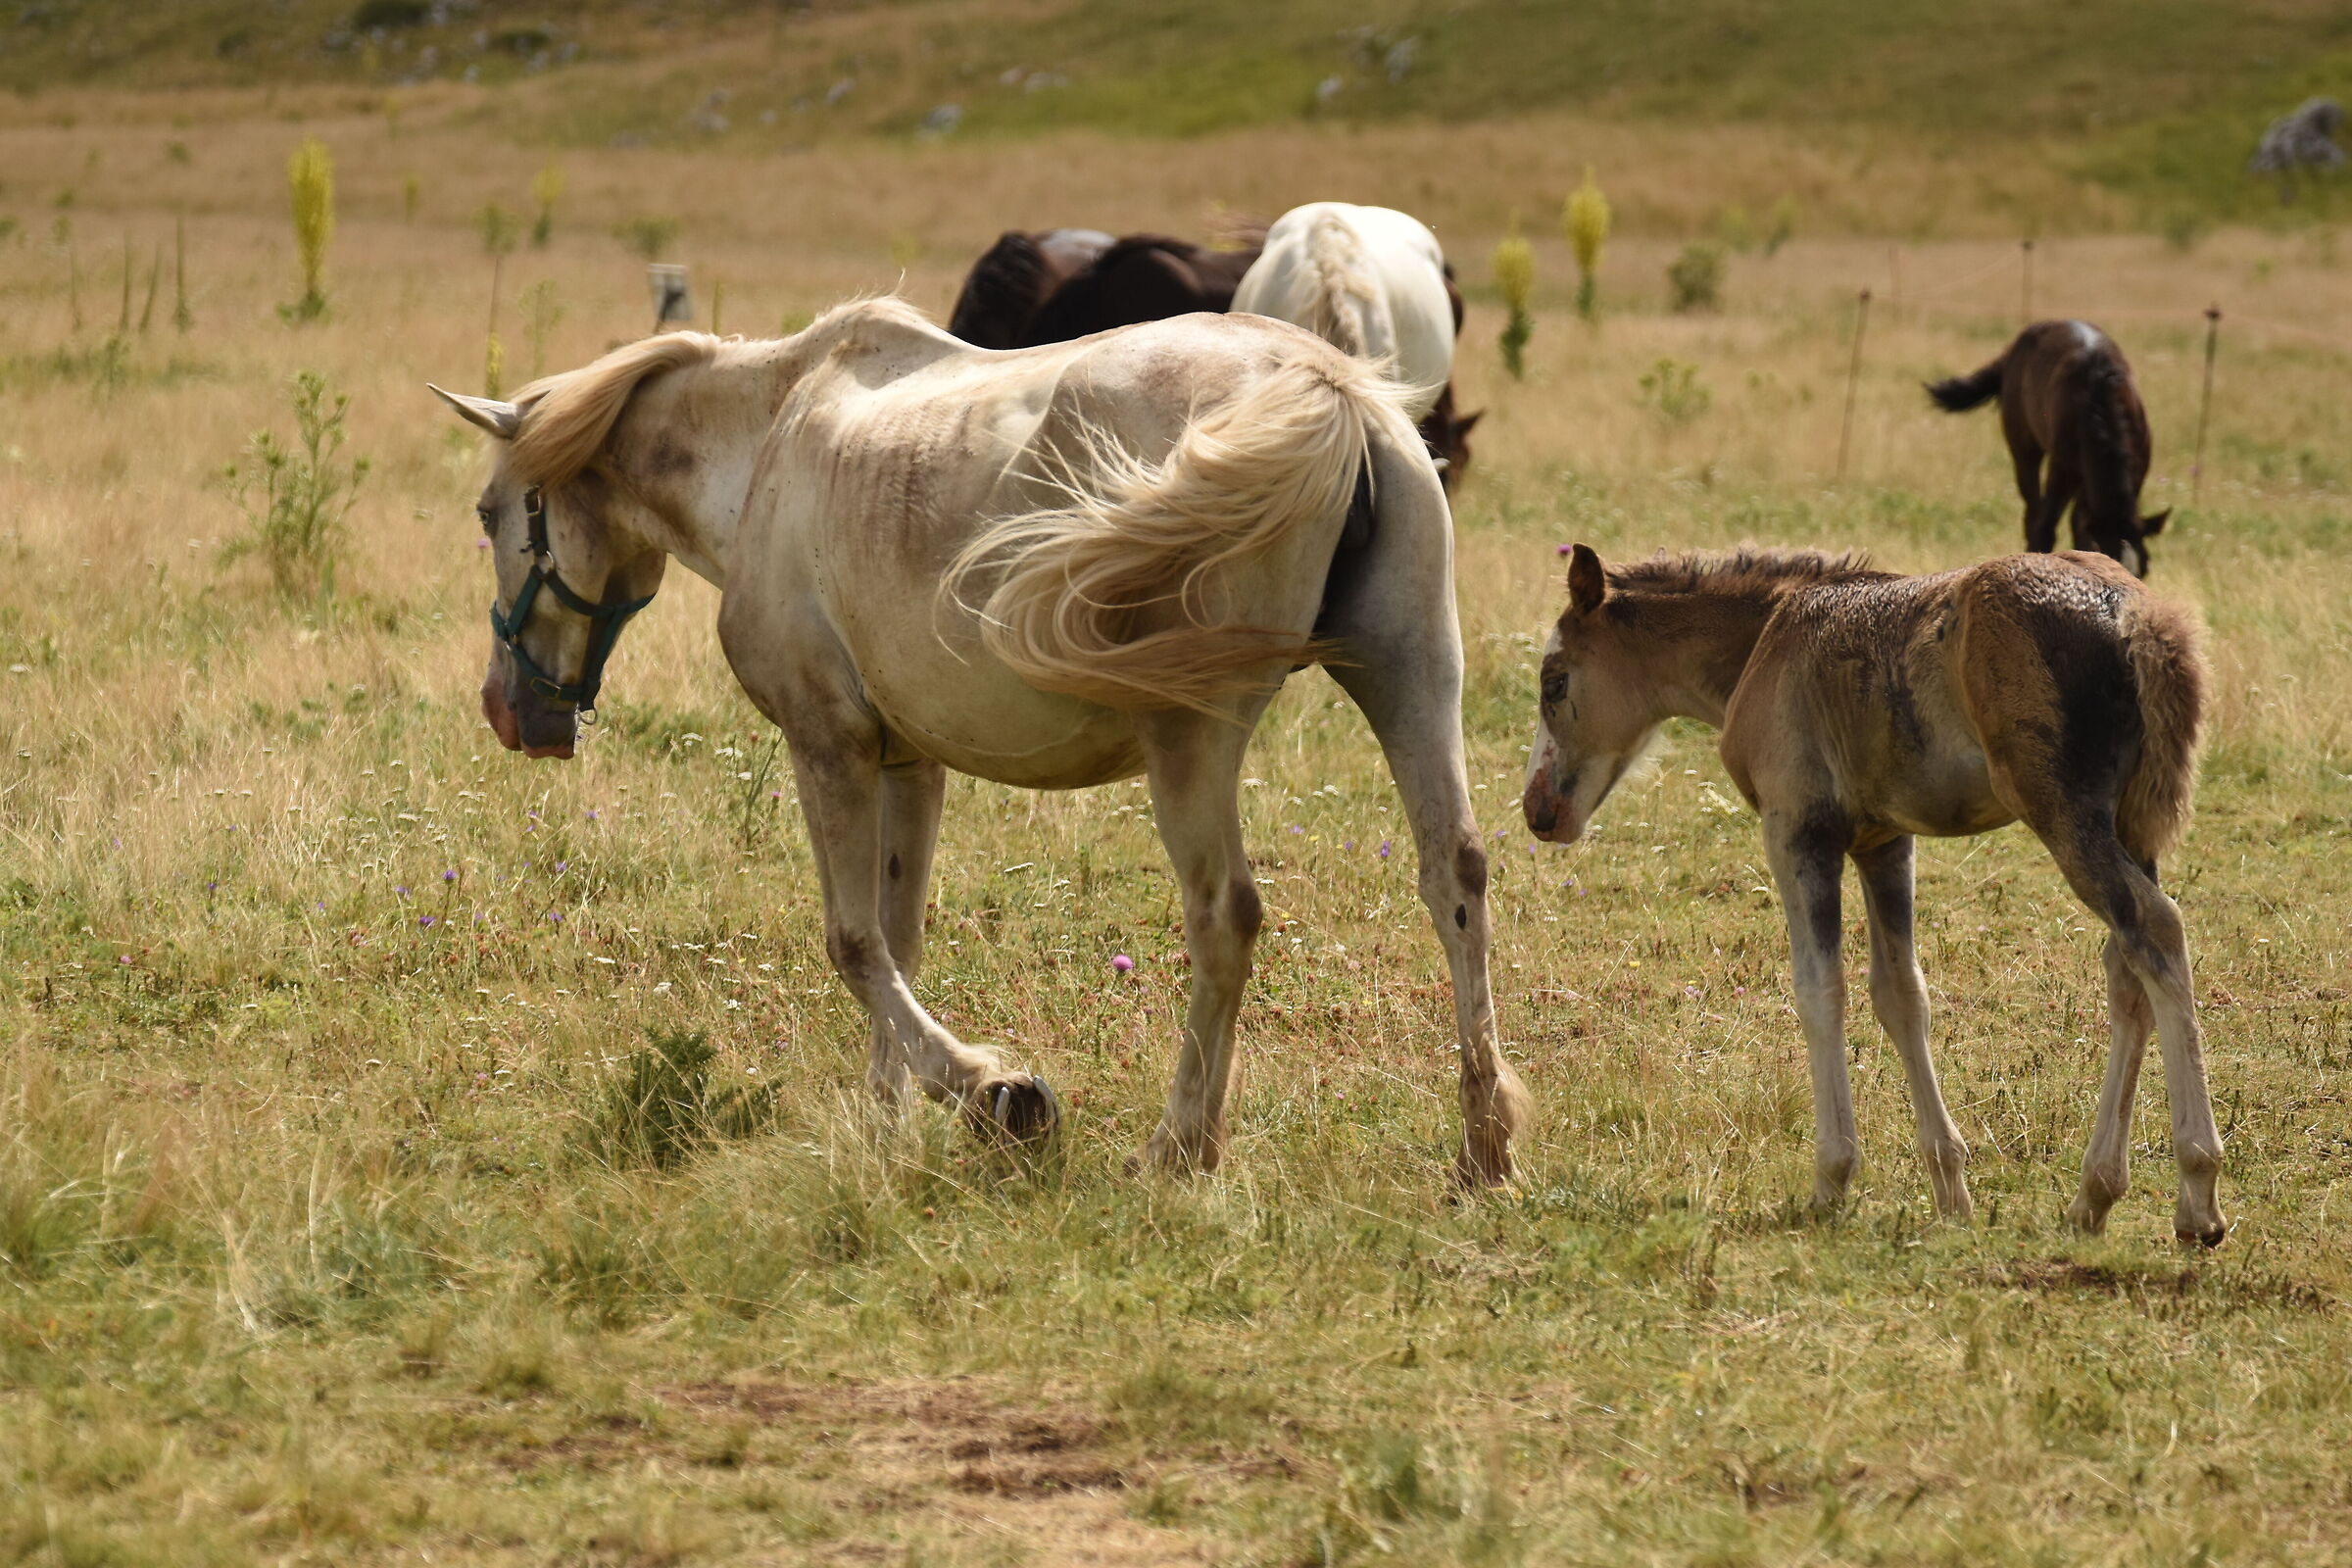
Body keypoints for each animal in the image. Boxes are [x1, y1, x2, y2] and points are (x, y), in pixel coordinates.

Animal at [430, 298, 1529, 1186]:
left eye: (489, 511)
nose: (503, 710)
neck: (773, 446)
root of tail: (1325, 386)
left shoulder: (828, 746)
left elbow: (853, 943)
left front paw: (994, 1093)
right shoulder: (908, 765)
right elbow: (898, 938)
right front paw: (886, 1120)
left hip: (1195, 742)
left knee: (1226, 917)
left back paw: (1180, 1146)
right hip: (1411, 678)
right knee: (1454, 875)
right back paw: (1483, 1144)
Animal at [1522, 544, 2223, 1245]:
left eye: (1555, 682)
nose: (1538, 811)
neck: (1764, 639)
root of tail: (2141, 615)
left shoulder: (1798, 831)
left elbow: (1819, 990)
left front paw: (1831, 1180)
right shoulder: (1884, 841)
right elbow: (1901, 994)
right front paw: (1951, 1192)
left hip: (2062, 810)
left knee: (2155, 928)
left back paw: (2197, 1191)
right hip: (2132, 825)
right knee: (2126, 967)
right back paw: (2093, 1196)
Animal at [1927, 320, 2170, 577]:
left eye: (2143, 570)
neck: (2099, 396)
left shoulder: (2137, 471)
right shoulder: (2062, 470)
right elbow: (2045, 527)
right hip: (2025, 451)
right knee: (2033, 510)